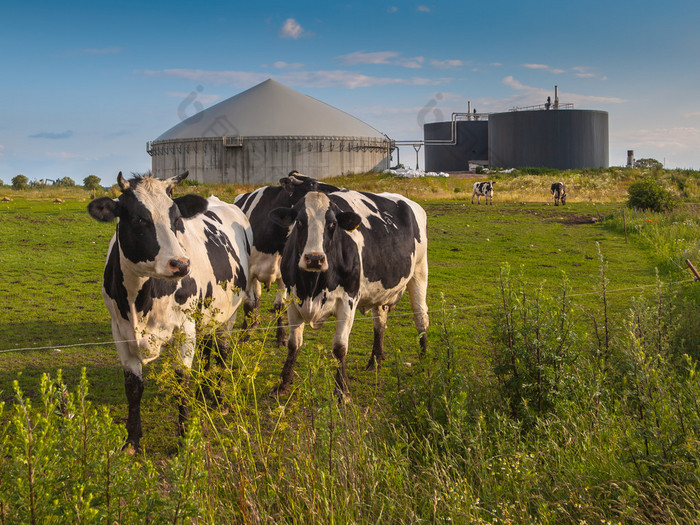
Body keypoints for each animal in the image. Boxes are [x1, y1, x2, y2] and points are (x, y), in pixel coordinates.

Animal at [87, 172, 250, 450]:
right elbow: (133, 387)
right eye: (139, 219)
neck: (140, 301)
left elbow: (181, 381)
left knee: (222, 352)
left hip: (229, 314)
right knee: (207, 349)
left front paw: (185, 438)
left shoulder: (184, 330)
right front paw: (132, 440)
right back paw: (204, 391)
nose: (180, 264)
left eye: (176, 220)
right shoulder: (120, 332)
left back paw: (218, 398)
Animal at [234, 170, 340, 346]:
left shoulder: (284, 274)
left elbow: (280, 305)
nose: (338, 191)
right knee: (255, 298)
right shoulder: (248, 272)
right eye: (312, 184)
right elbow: (248, 303)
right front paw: (244, 334)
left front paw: (281, 336)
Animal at [270, 190, 430, 396]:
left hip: (419, 271)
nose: (314, 259)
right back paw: (375, 360)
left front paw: (342, 391)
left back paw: (424, 359)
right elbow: (293, 344)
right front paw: (282, 385)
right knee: (380, 323)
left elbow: (340, 347)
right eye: (299, 222)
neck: (313, 286)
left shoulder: (348, 300)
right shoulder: (293, 298)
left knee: (421, 317)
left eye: (332, 224)